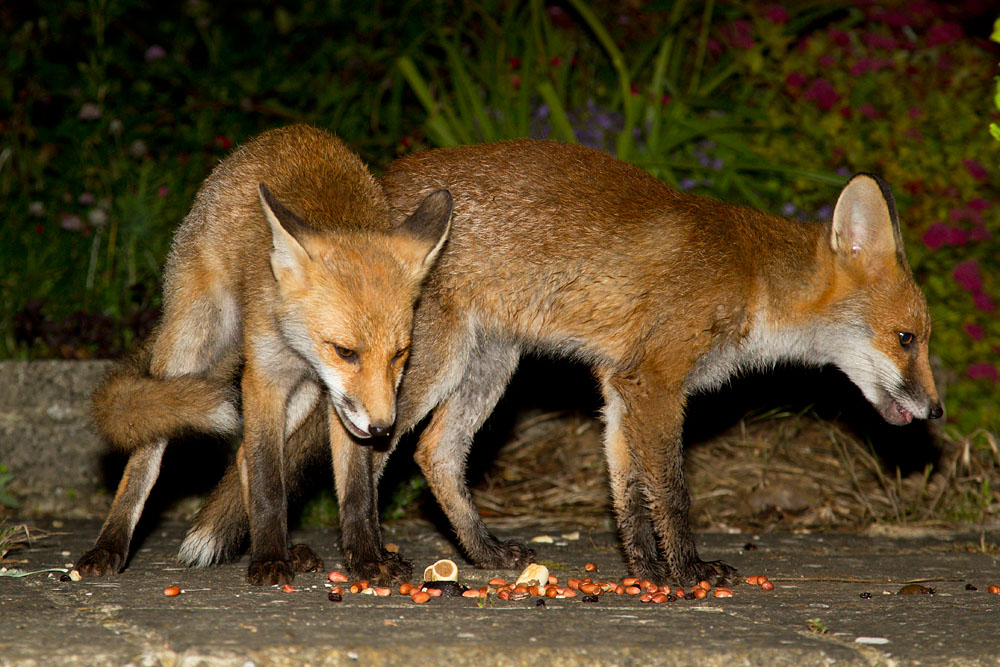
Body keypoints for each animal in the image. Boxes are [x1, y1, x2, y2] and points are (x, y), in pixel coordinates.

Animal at [75, 124, 452, 586]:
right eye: (345, 351)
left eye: (401, 353)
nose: (382, 429)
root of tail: (283, 133)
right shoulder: (264, 378)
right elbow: (269, 481)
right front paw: (270, 559)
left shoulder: (336, 402)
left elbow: (357, 491)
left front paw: (367, 558)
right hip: (190, 345)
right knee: (149, 449)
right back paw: (110, 544)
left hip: (304, 397)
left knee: (241, 456)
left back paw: (290, 548)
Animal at [181, 139, 942, 586]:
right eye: (909, 338)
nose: (936, 410)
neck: (750, 277)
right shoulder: (656, 381)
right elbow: (671, 491)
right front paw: (689, 569)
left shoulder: (622, 386)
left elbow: (627, 491)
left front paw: (646, 569)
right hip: (413, 371)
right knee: (360, 451)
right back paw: (361, 554)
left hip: (490, 365)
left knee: (434, 454)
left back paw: (483, 554)